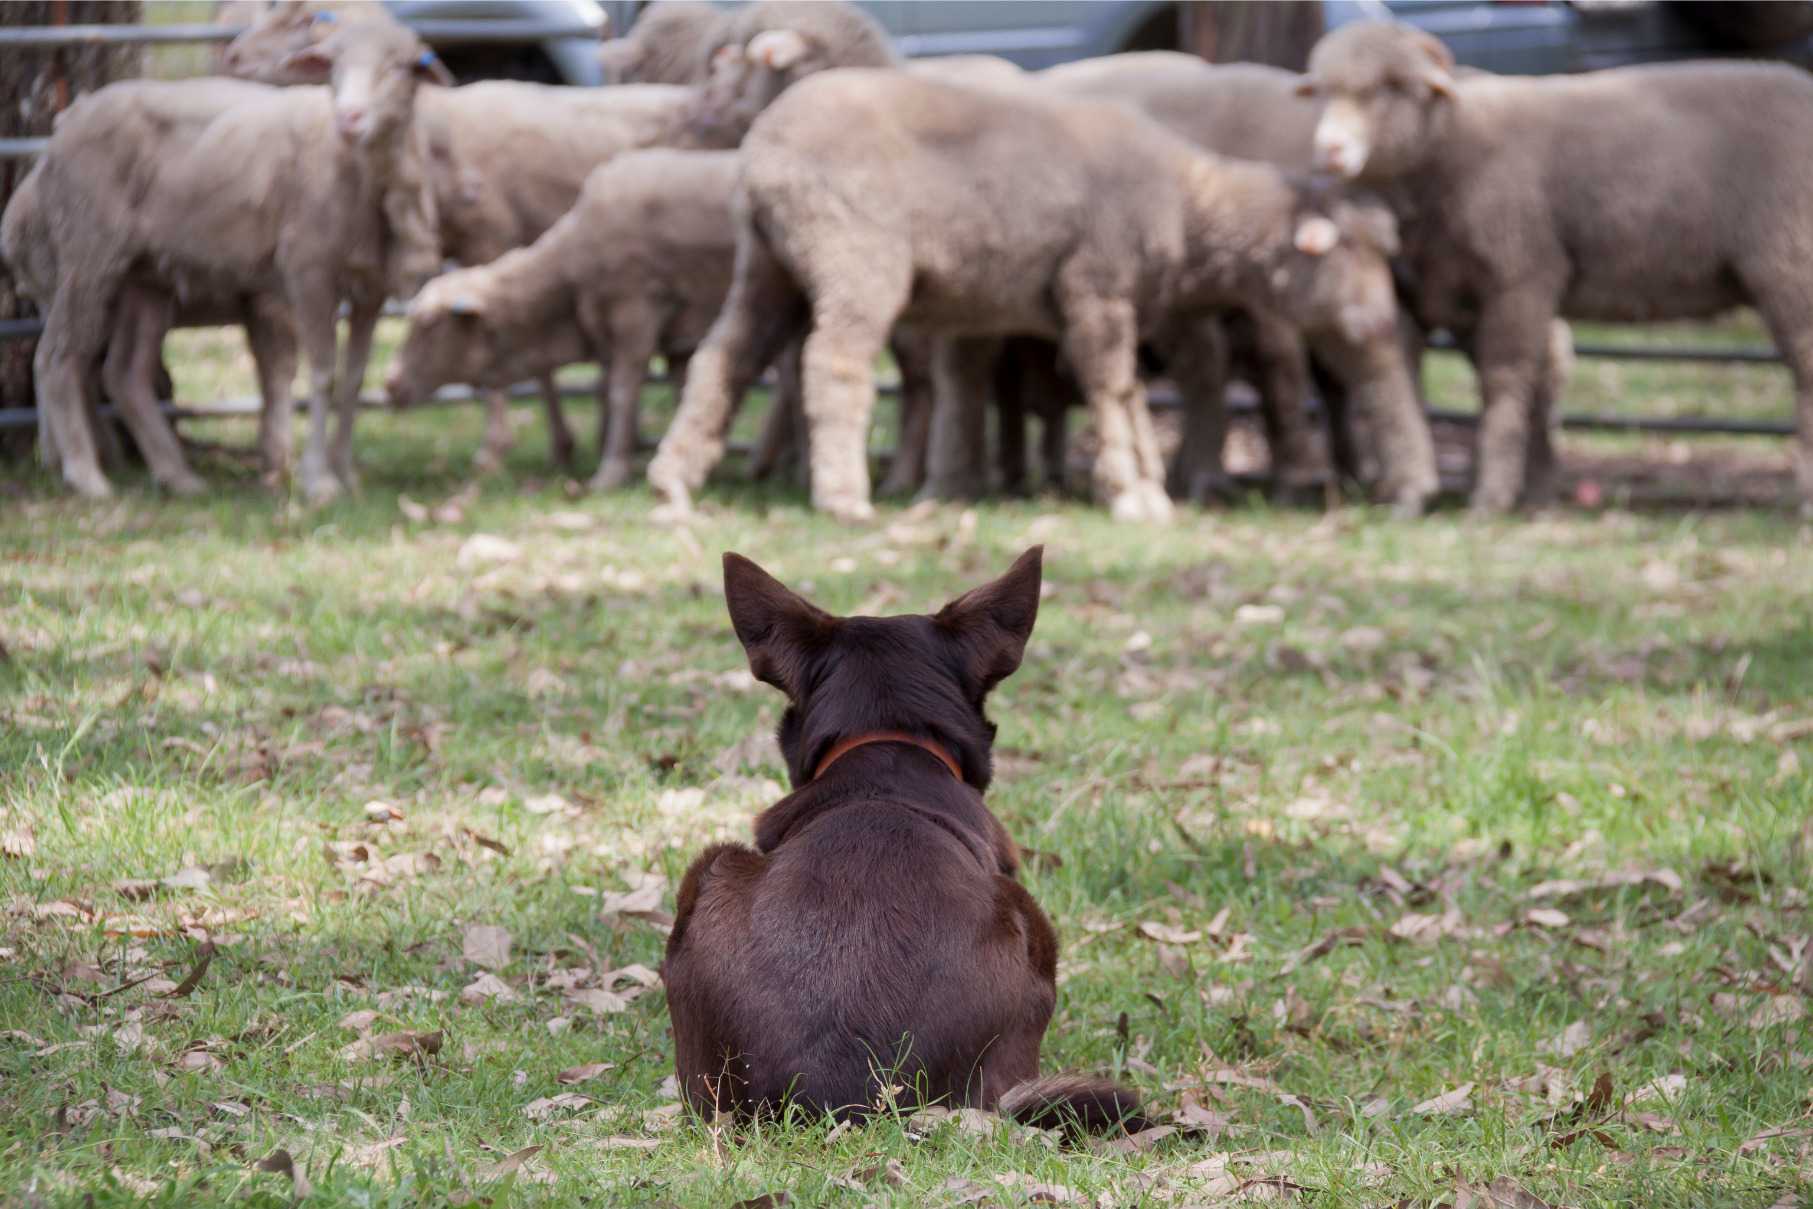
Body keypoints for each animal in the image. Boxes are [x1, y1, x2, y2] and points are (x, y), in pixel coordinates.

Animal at [27, 23, 442, 507]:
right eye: (333, 67)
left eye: (398, 68)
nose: (349, 117)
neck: (358, 172)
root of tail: (66, 123)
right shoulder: (309, 273)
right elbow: (323, 375)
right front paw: (318, 480)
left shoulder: (371, 290)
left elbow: (356, 378)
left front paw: (346, 473)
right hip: (89, 249)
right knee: (56, 355)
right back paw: (85, 475)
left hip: (145, 273)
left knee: (125, 372)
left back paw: (177, 476)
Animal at [389, 151, 743, 493]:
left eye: (428, 322)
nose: (390, 383)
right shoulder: (678, 337)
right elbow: (686, 392)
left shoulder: (634, 312)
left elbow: (621, 393)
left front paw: (611, 473)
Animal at [652, 69, 1399, 525]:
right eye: (1350, 249)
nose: (1384, 321)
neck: (1188, 204)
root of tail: (761, 149)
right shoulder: (1094, 284)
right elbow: (1109, 389)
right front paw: (1129, 490)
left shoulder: (1080, 301)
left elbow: (1122, 392)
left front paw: (1145, 485)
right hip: (850, 253)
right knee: (833, 362)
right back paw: (842, 495)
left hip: (767, 261)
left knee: (724, 358)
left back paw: (674, 479)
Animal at [1305, 21, 1813, 511]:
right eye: (1322, 91)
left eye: (1391, 87)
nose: (1329, 149)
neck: (1455, 141)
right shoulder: (1456, 290)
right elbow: (1508, 382)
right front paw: (1529, 488)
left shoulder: (1520, 272)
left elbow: (1506, 379)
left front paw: (1492, 495)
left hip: (1791, 258)